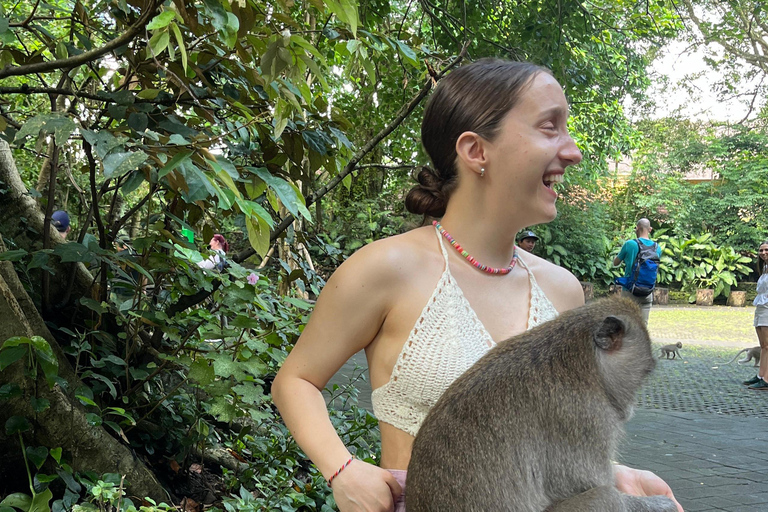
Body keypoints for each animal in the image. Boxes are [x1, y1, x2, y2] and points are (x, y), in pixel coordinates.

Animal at [406, 298, 677, 512]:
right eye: (644, 374)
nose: (632, 407)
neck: (582, 360)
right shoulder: (586, 418)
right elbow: (595, 484)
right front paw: (657, 505)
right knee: (606, 498)